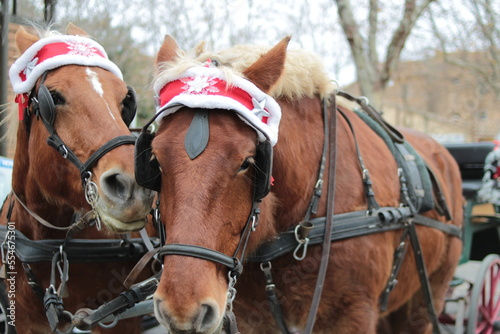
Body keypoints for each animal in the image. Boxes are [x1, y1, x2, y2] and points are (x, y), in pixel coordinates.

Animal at [139, 35, 462, 332]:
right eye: (155, 159)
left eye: (247, 162)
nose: (182, 308)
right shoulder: (255, 320)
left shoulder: (353, 316)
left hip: (425, 299)